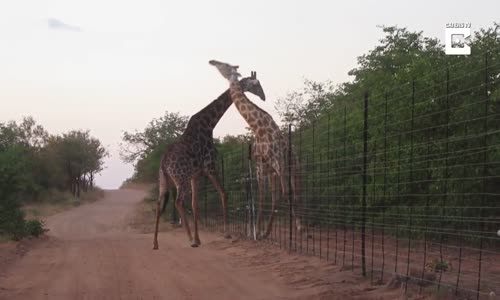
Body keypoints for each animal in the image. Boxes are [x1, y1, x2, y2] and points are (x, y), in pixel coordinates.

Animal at [152, 72, 268, 248]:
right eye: (256, 84)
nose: (263, 96)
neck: (209, 124)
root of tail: (164, 162)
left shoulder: (196, 174)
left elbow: (195, 204)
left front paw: (199, 238)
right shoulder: (209, 167)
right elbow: (223, 193)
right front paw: (226, 234)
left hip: (164, 180)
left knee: (159, 204)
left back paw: (155, 243)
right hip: (181, 178)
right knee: (178, 202)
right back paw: (189, 239)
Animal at [209, 59, 302, 239]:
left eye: (225, 65)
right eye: (257, 84)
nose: (212, 61)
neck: (259, 128)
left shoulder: (275, 161)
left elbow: (282, 194)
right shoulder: (261, 164)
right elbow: (262, 196)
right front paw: (257, 231)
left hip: (291, 167)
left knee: (291, 192)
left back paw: (297, 228)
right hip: (279, 170)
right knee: (280, 195)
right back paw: (273, 231)